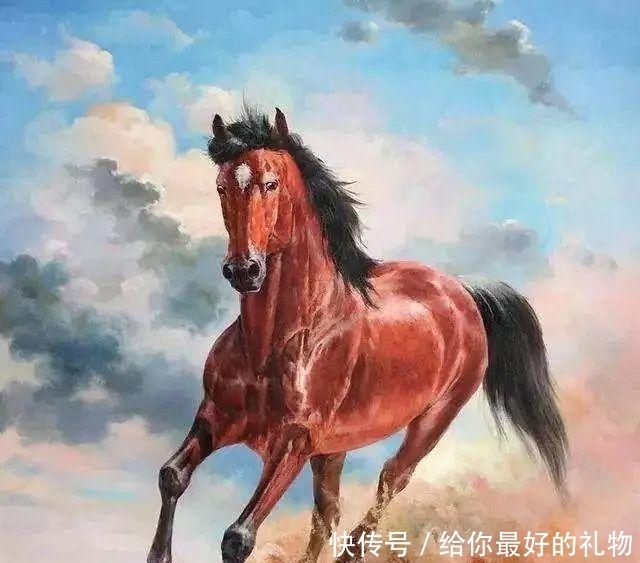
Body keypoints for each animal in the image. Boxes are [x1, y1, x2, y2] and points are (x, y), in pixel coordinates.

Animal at [147, 107, 568, 563]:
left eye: (271, 184)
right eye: (222, 187)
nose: (244, 270)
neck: (277, 342)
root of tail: (462, 292)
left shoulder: (293, 444)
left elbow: (238, 537)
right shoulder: (215, 417)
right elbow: (171, 476)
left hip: (431, 421)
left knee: (390, 481)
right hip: (334, 448)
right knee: (327, 513)